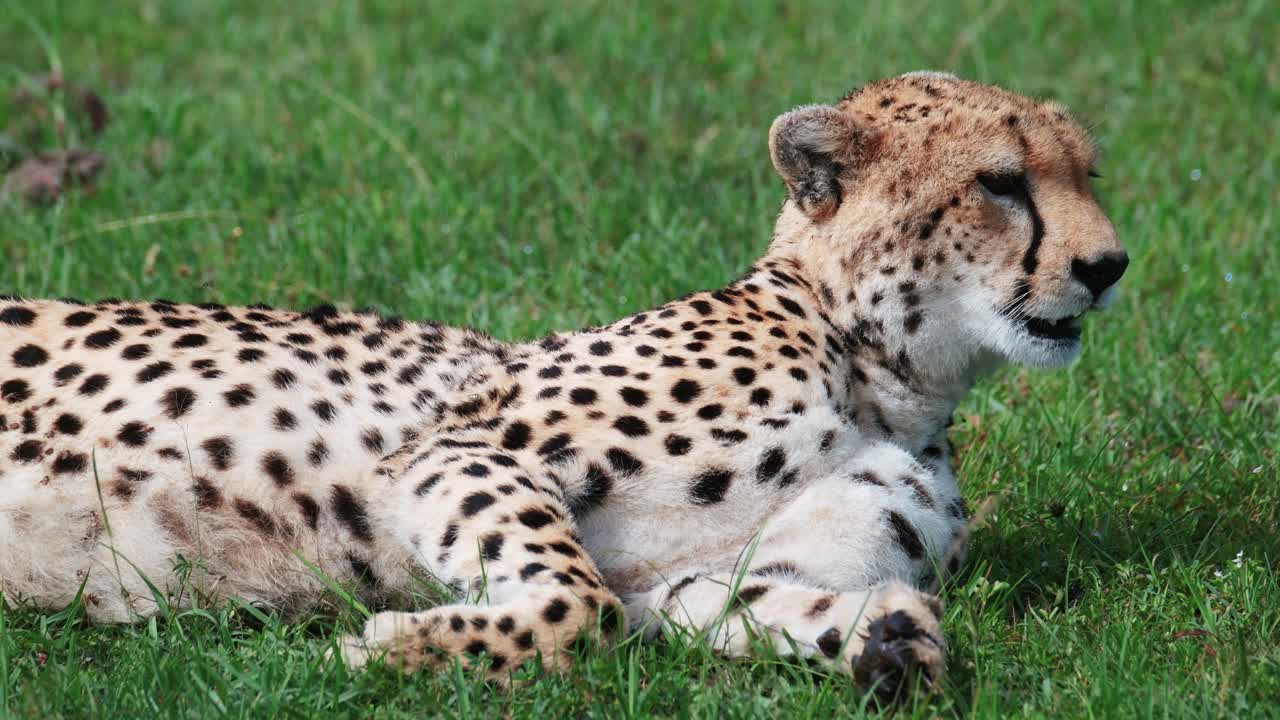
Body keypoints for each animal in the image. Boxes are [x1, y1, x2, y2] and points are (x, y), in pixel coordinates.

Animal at [0, 72, 1127, 700]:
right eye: (1000, 183)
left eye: (1087, 174)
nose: (1108, 265)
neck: (883, 377)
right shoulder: (463, 443)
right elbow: (575, 605)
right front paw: (385, 648)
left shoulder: (682, 586)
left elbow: (701, 603)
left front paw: (881, 642)